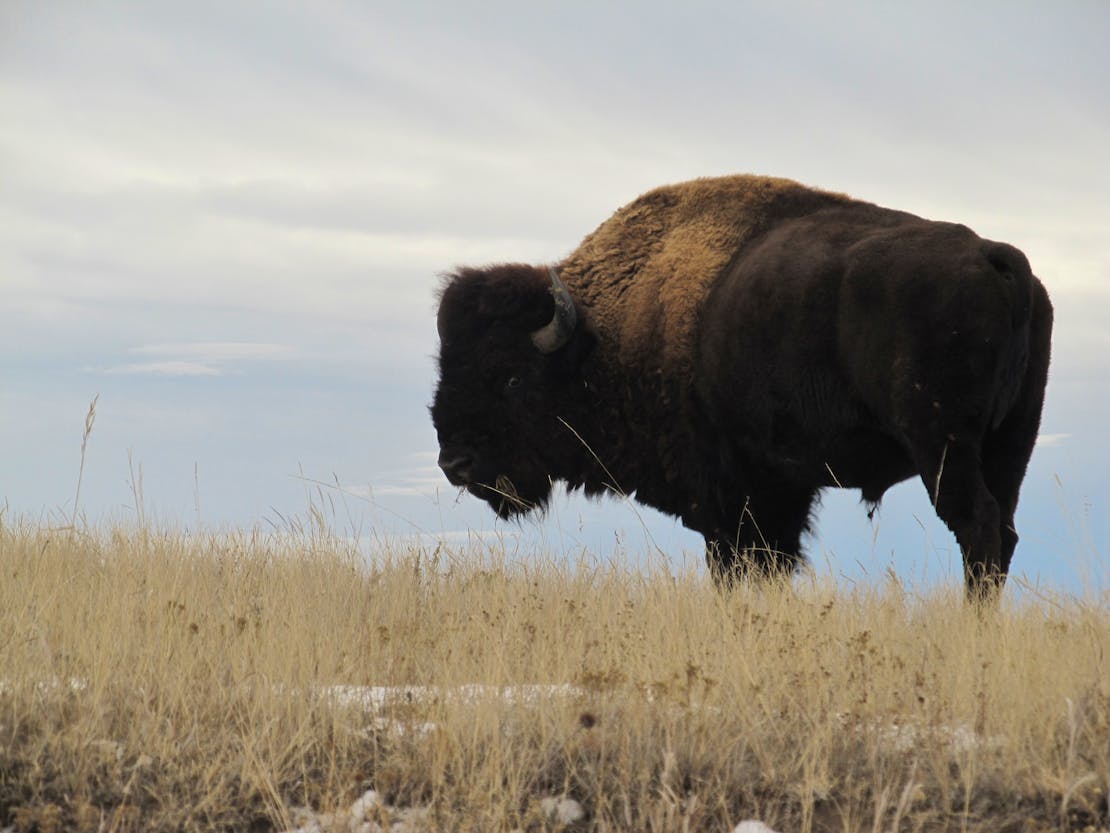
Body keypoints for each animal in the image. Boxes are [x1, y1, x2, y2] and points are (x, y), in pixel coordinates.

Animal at [428, 176, 1052, 604]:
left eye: (512, 377)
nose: (455, 463)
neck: (605, 332)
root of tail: (997, 258)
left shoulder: (725, 500)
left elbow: (736, 566)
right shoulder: (779, 489)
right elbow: (774, 563)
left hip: (942, 446)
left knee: (976, 526)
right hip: (1011, 443)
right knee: (1004, 532)